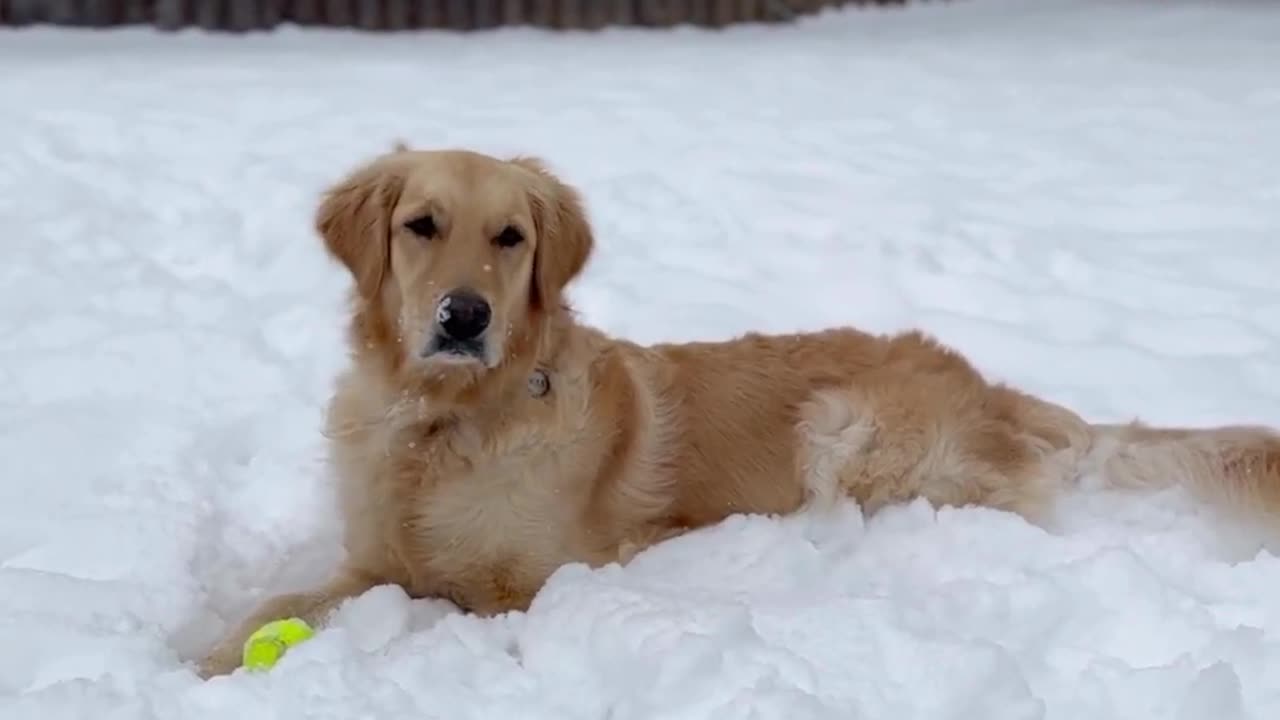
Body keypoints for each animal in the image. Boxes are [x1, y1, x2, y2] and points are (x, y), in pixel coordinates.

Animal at [194, 142, 1280, 676]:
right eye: (422, 225)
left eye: (510, 238)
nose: (465, 317)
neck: (447, 420)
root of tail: (982, 380)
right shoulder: (369, 558)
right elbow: (277, 603)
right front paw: (203, 656)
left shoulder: (527, 587)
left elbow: (431, 611)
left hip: (846, 431)